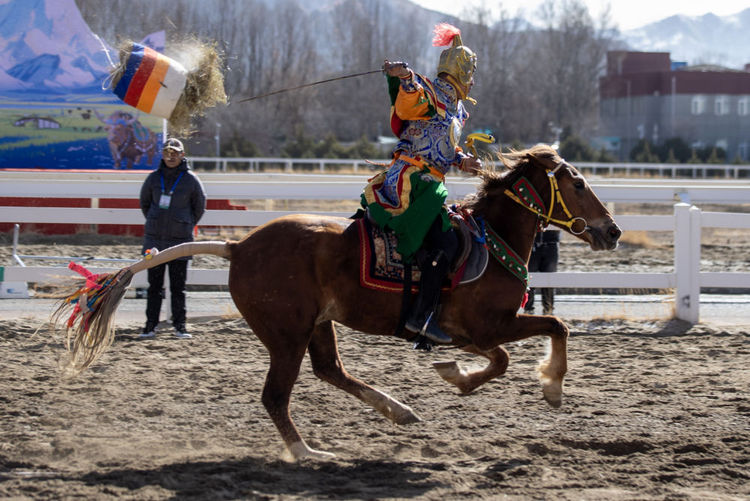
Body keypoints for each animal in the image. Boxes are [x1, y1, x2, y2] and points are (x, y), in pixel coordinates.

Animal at [55, 144, 624, 460]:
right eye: (577, 183)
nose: (612, 231)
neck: (492, 238)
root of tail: (239, 246)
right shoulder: (488, 325)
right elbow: (542, 334)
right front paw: (544, 386)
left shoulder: (478, 330)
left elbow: (520, 345)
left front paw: (456, 373)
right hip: (286, 334)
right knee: (277, 396)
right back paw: (307, 451)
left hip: (317, 324)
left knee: (330, 370)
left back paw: (398, 411)